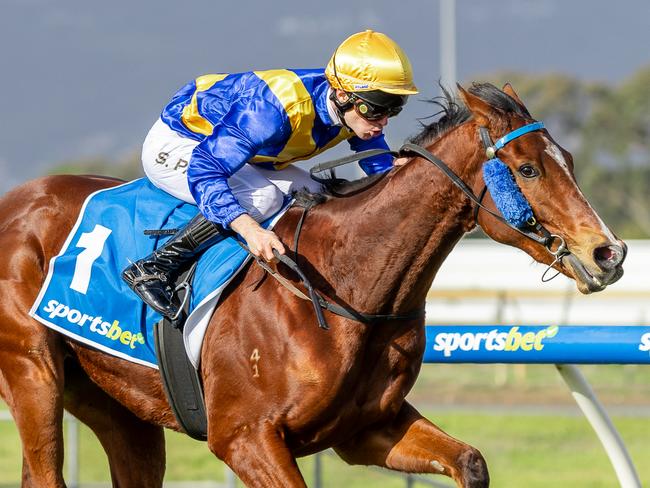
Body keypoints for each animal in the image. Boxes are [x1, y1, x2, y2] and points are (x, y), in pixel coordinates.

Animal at [0, 82, 624, 486]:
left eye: (569, 158)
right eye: (527, 169)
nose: (610, 253)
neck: (348, 283)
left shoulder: (366, 427)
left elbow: (471, 461)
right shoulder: (245, 437)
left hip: (119, 406)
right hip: (33, 373)